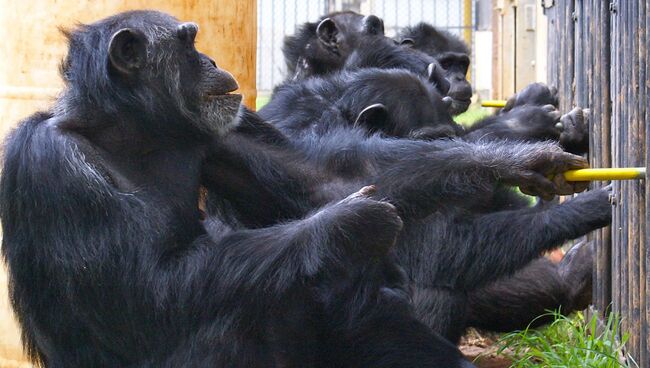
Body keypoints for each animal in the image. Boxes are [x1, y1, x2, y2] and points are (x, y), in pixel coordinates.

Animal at [0, 10, 478, 366]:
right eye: (188, 44)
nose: (211, 60)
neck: (131, 130)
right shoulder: (55, 164)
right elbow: (145, 293)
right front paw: (348, 223)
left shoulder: (224, 128)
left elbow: (323, 175)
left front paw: (491, 162)